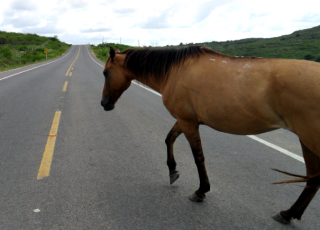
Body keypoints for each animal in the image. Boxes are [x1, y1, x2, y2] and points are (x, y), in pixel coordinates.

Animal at [101, 45, 320, 224]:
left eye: (105, 73)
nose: (104, 103)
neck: (174, 71)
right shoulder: (185, 119)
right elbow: (169, 139)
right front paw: (173, 171)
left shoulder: (187, 122)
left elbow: (198, 158)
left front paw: (201, 191)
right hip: (306, 140)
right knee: (313, 179)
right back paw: (288, 214)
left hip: (310, 139)